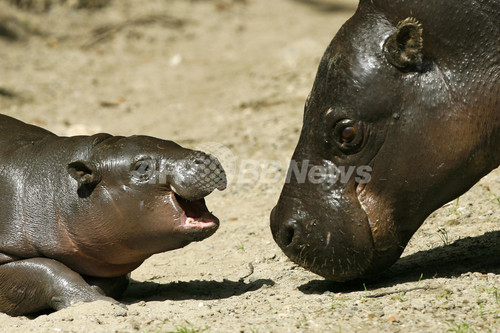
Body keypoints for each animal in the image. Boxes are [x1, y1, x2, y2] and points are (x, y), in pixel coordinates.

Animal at [0, 114, 227, 314]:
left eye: (173, 142)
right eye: (142, 167)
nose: (205, 157)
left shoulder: (108, 261)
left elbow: (116, 279)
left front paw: (99, 294)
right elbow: (49, 269)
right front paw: (102, 303)